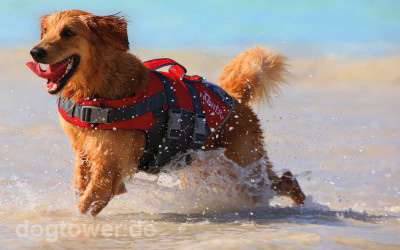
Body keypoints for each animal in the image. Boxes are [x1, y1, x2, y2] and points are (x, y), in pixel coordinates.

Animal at [26, 10, 304, 215]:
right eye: (45, 31)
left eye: (68, 32)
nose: (35, 51)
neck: (96, 89)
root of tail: (235, 98)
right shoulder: (84, 150)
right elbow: (80, 184)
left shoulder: (110, 166)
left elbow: (86, 203)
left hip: (243, 168)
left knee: (285, 180)